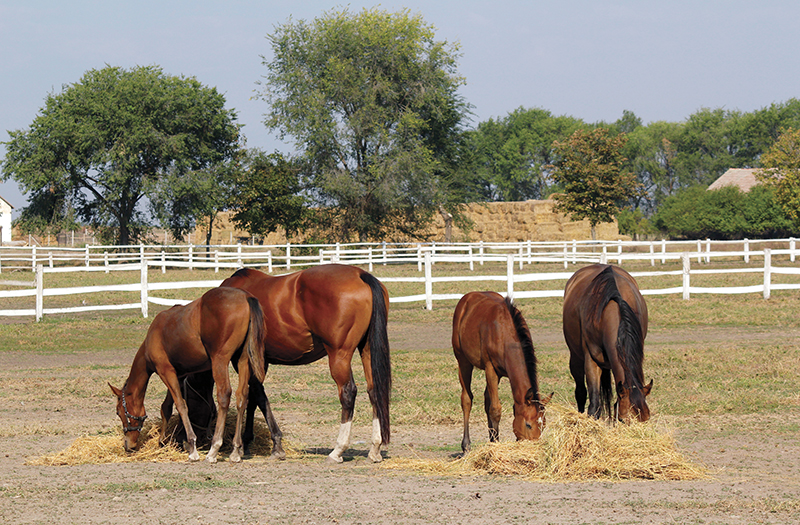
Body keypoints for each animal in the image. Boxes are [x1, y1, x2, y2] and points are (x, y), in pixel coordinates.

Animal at [109, 286, 266, 463]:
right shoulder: (178, 375)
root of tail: (245, 297)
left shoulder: (166, 372)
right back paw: (236, 450)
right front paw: (163, 441)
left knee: (224, 395)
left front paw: (192, 446)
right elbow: (166, 407)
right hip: (243, 360)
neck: (154, 335)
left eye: (119, 412)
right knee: (242, 397)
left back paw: (214, 449)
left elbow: (181, 405)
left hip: (219, 361)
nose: (128, 445)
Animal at [177, 264, 391, 464]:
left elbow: (258, 396)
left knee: (348, 393)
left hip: (339, 354)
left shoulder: (242, 361)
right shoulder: (259, 362)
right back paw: (375, 448)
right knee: (374, 390)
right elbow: (253, 398)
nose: (182, 440)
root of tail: (360, 275)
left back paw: (338, 450)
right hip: (367, 350)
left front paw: (272, 444)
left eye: (188, 398)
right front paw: (248, 441)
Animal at [452, 291, 552, 453]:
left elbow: (491, 406)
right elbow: (495, 409)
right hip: (463, 361)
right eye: (528, 425)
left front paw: (494, 441)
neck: (504, 333)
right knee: (466, 399)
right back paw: (466, 445)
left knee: (486, 399)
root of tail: (467, 298)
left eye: (543, 425)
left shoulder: (498, 374)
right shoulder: (490, 369)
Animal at [562, 263, 653, 422]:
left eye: (646, 418)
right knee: (580, 392)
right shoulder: (591, 360)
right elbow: (594, 405)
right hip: (576, 358)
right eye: (623, 419)